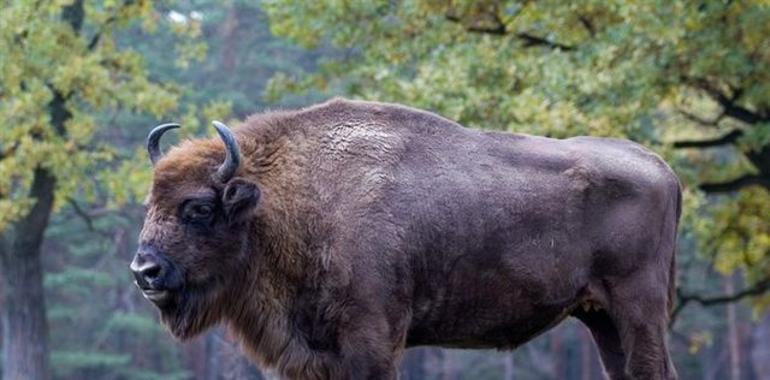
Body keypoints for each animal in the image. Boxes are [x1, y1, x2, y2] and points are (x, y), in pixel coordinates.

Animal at [130, 98, 680, 380]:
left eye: (198, 208)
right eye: (149, 204)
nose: (144, 272)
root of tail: (662, 169)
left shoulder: (372, 342)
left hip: (637, 309)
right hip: (599, 316)